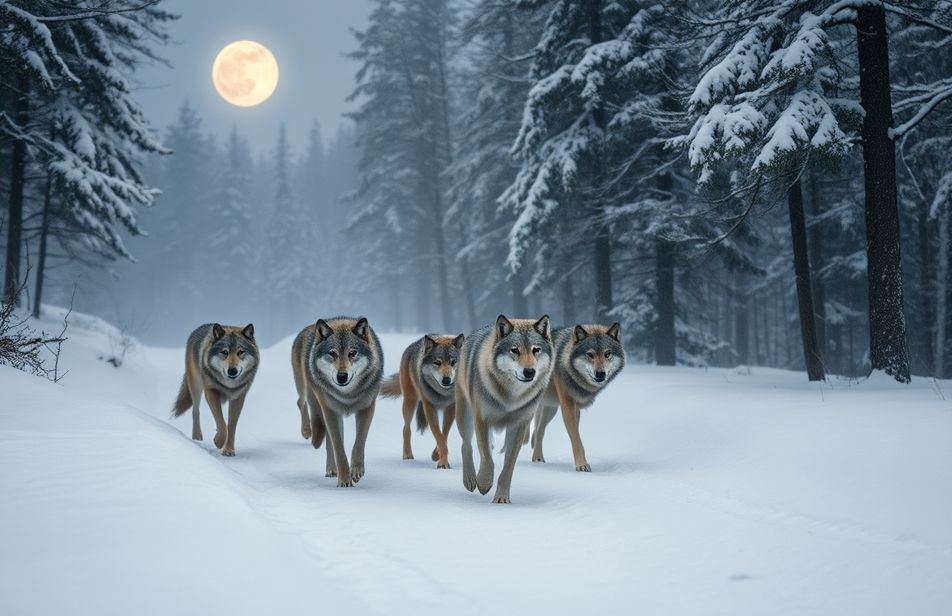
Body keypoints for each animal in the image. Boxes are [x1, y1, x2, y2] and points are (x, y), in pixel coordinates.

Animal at [171, 323, 259, 456]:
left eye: (240, 352)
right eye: (224, 352)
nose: (232, 371)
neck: (229, 385)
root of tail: (202, 326)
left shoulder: (238, 398)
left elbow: (231, 426)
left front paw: (228, 449)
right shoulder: (211, 391)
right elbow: (222, 424)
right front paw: (219, 441)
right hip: (196, 386)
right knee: (195, 411)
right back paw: (197, 437)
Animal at [291, 317, 383, 487]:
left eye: (352, 353)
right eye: (332, 353)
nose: (342, 376)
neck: (347, 395)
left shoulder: (367, 408)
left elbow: (359, 443)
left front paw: (356, 471)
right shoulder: (330, 411)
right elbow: (338, 449)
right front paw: (344, 480)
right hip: (306, 389)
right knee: (301, 403)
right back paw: (309, 434)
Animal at [379, 333, 464, 469]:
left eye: (453, 362)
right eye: (437, 362)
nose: (447, 380)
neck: (443, 394)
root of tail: (414, 344)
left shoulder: (451, 408)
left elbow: (443, 435)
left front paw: (437, 455)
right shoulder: (429, 408)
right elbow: (439, 436)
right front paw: (443, 463)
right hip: (410, 402)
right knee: (406, 429)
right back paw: (407, 455)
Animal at [455, 314, 553, 503]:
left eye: (536, 350)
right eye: (515, 350)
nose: (529, 371)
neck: (510, 397)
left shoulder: (520, 426)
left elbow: (508, 468)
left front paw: (501, 498)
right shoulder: (481, 419)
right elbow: (487, 458)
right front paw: (484, 483)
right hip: (465, 417)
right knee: (466, 445)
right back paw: (470, 480)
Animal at [530, 323, 625, 471]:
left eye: (607, 354)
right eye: (590, 354)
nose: (600, 373)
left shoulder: (576, 408)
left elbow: (576, 434)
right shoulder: (567, 405)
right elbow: (576, 438)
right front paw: (582, 465)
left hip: (550, 410)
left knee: (539, 431)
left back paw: (538, 458)